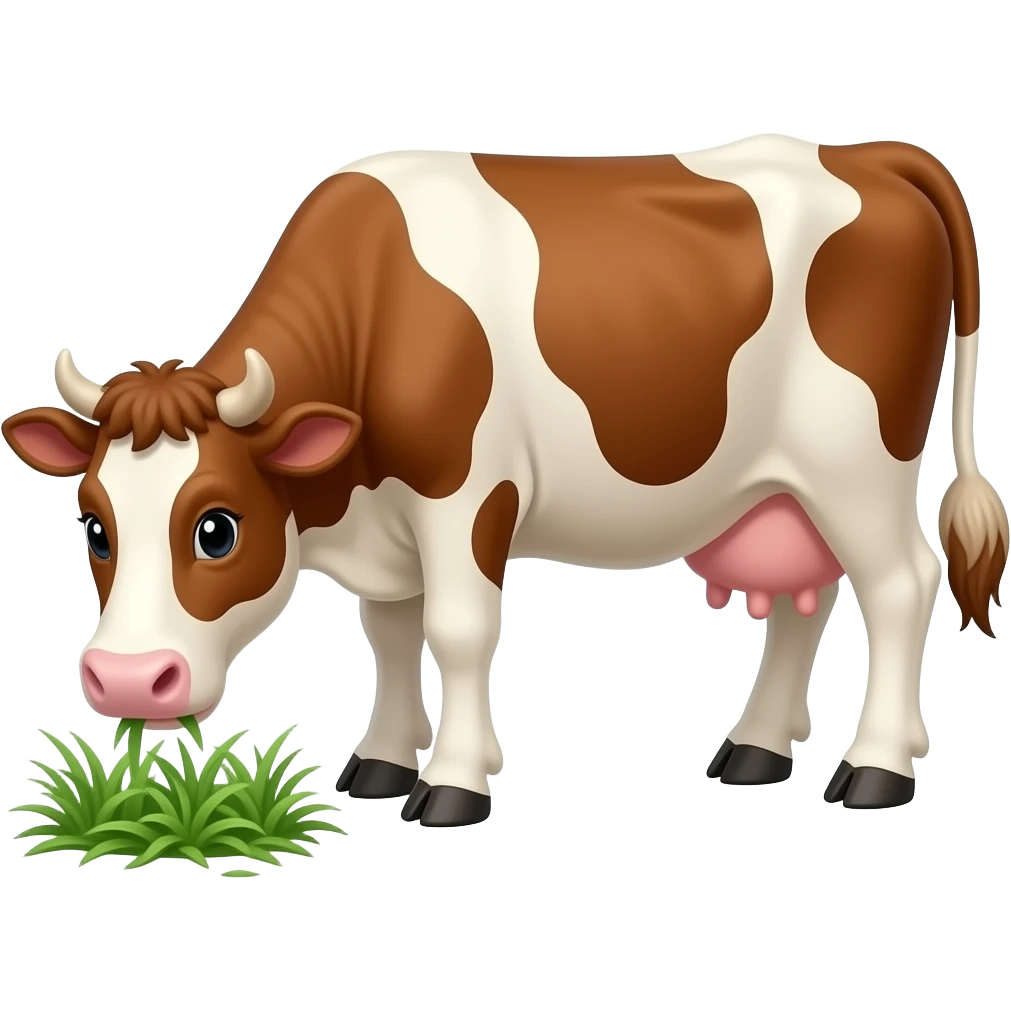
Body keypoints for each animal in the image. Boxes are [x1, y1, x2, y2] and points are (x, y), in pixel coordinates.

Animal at [2, 136, 1005, 827]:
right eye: (94, 526)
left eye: (218, 526)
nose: (127, 681)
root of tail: (866, 152)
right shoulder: (386, 526)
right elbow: (390, 634)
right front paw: (380, 764)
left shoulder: (464, 492)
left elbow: (456, 629)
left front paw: (452, 784)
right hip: (784, 483)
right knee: (809, 593)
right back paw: (754, 748)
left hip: (857, 459)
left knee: (899, 584)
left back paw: (877, 768)